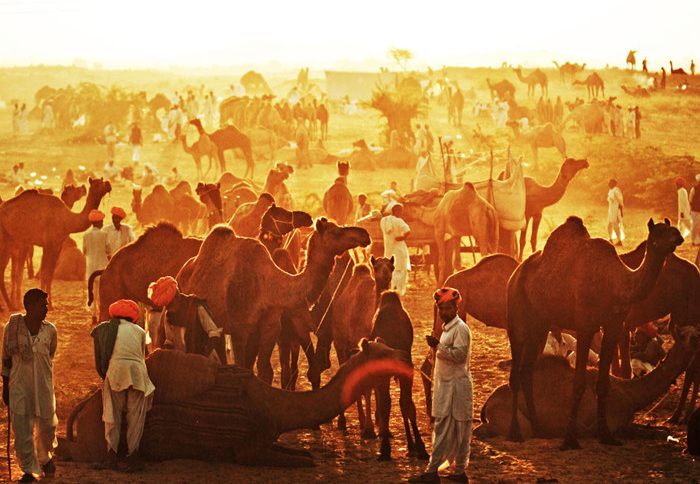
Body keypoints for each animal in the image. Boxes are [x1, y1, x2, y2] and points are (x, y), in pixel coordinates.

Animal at [57, 342, 412, 466]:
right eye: (384, 352)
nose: (405, 356)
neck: (277, 405)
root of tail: (89, 402)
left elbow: (303, 455)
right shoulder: (248, 448)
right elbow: (302, 463)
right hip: (98, 438)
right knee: (81, 451)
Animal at [178, 219, 370, 374]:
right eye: (335, 231)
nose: (365, 234)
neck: (269, 285)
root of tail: (181, 272)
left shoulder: (270, 325)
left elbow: (264, 369)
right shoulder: (240, 327)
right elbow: (242, 365)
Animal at [370, 292, 430, 462]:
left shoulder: (406, 372)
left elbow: (407, 405)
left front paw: (420, 448)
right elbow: (388, 405)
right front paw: (385, 449)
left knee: (402, 403)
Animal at [476, 328, 700, 440]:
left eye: (695, 332)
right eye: (684, 336)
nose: (696, 339)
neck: (629, 393)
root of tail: (488, 402)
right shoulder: (607, 423)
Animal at [508, 216, 684, 450]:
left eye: (672, 228)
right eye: (658, 233)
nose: (678, 235)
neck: (616, 283)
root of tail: (515, 274)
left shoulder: (613, 326)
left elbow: (604, 383)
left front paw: (606, 435)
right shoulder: (585, 326)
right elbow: (578, 384)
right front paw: (570, 439)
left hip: (540, 323)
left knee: (527, 370)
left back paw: (538, 429)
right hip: (517, 317)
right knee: (515, 372)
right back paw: (515, 433)